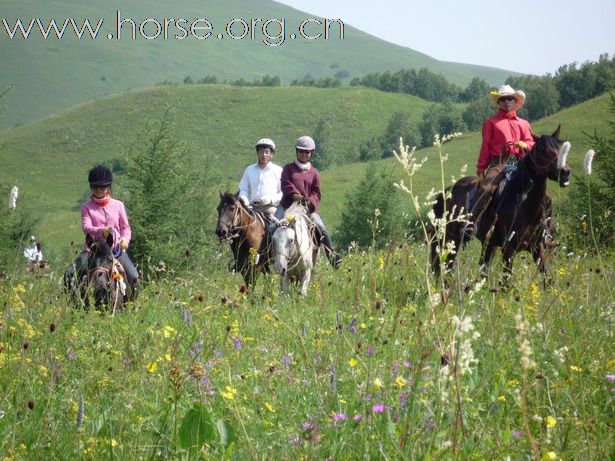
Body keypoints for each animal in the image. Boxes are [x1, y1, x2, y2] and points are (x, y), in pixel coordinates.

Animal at [434, 127, 572, 282]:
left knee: (482, 268)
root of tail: (447, 191)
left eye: (562, 147)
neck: (524, 204)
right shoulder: (509, 250)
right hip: (453, 239)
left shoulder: (538, 248)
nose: (565, 172)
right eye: (543, 150)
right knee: (446, 266)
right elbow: (506, 282)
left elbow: (548, 279)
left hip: (488, 244)